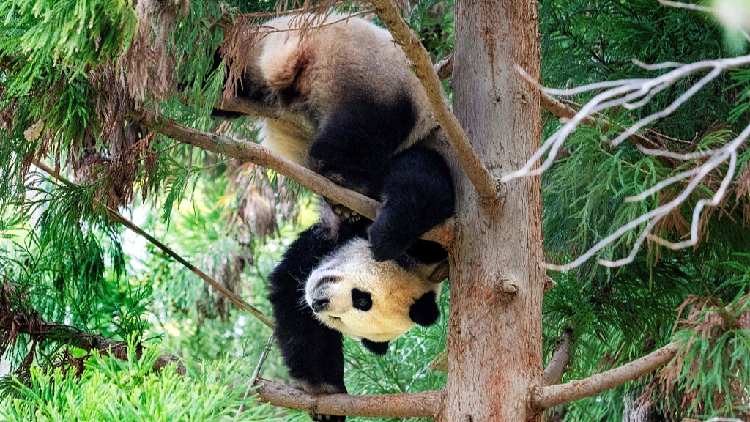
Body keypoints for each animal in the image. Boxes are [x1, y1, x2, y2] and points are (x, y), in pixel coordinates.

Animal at [215, 13, 455, 421]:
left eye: (350, 318)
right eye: (363, 298)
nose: (321, 303)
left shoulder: (325, 248)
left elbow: (290, 295)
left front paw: (323, 394)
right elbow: (425, 184)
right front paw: (386, 237)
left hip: (261, 62)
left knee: (224, 72)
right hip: (376, 76)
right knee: (367, 126)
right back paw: (339, 176)